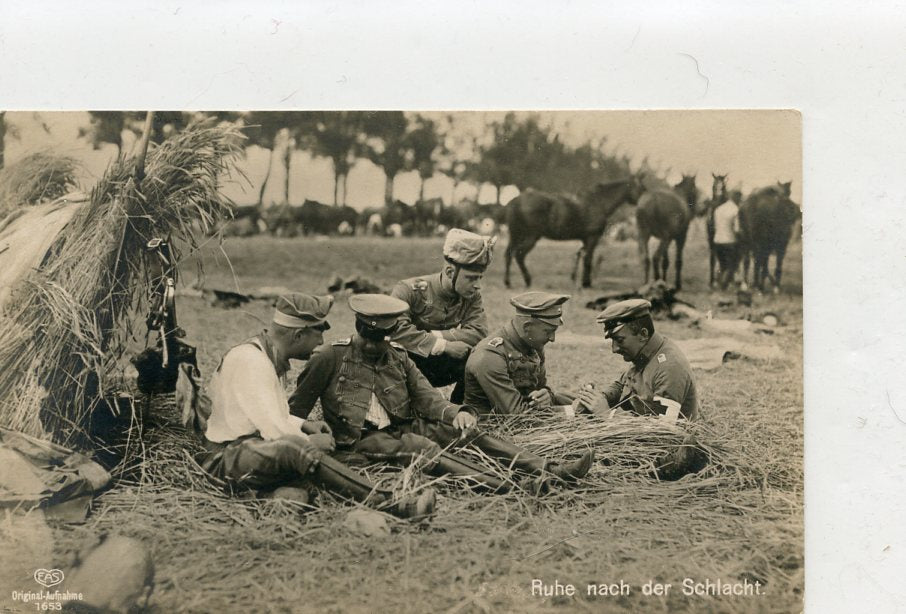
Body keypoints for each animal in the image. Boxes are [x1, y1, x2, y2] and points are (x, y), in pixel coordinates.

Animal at [502, 173, 644, 288]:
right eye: (641, 188)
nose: (641, 205)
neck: (598, 201)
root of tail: (516, 200)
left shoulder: (585, 240)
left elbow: (581, 255)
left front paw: (575, 278)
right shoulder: (592, 238)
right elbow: (588, 259)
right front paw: (586, 283)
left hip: (517, 235)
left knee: (509, 254)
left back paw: (508, 282)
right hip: (531, 237)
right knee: (519, 255)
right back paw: (527, 280)